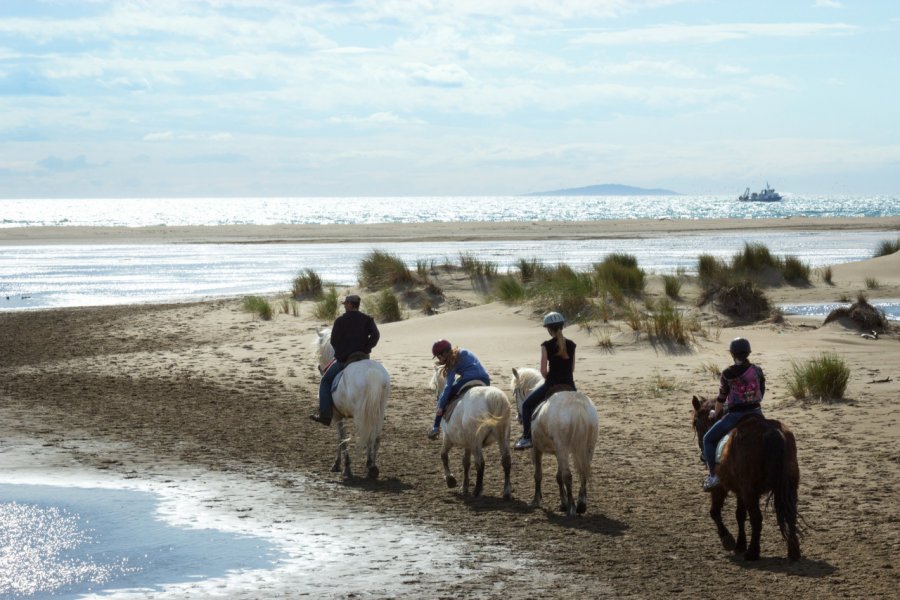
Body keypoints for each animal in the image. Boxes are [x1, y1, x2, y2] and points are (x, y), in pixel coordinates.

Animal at [314, 330, 388, 480]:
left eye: (319, 352)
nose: (320, 368)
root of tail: (371, 373)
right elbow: (340, 438)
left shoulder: (336, 416)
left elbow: (342, 439)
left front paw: (343, 467)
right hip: (379, 412)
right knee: (375, 438)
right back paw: (372, 468)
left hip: (360, 415)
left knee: (366, 437)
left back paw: (369, 465)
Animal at [430, 368, 512, 500]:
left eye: (436, 385)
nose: (438, 398)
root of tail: (492, 397)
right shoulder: (467, 444)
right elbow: (466, 463)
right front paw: (464, 487)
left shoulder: (448, 438)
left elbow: (443, 455)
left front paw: (450, 480)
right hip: (502, 437)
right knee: (506, 461)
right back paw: (507, 492)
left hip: (475, 441)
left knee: (480, 463)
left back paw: (477, 491)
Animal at [512, 366, 596, 516]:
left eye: (515, 392)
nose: (519, 418)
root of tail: (577, 405)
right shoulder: (557, 452)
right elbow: (558, 476)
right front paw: (562, 503)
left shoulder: (536, 449)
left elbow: (538, 474)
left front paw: (536, 500)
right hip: (588, 448)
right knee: (583, 473)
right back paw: (581, 505)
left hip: (563, 448)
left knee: (568, 475)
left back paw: (572, 508)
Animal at [688, 396, 800, 560]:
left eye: (696, 422)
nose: (703, 457)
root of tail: (769, 431)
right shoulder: (740, 490)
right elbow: (740, 515)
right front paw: (740, 544)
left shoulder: (722, 487)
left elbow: (714, 512)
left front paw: (727, 539)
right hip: (788, 487)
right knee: (790, 514)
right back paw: (793, 552)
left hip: (750, 490)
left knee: (756, 518)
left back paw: (753, 552)